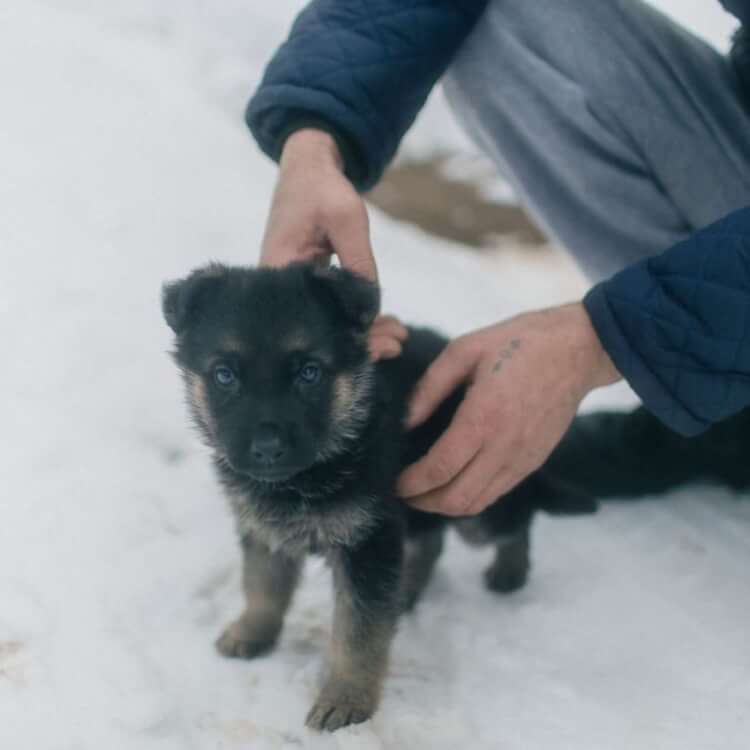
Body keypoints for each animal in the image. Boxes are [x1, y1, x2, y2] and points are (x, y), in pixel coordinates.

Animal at [163, 262, 600, 736]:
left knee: (517, 517)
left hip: (475, 500)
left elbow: (359, 633)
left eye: (308, 373)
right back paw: (409, 589)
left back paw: (509, 571)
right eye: (224, 375)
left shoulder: (367, 542)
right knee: (431, 540)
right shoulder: (265, 529)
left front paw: (346, 699)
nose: (266, 449)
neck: (311, 471)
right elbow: (262, 585)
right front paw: (252, 632)